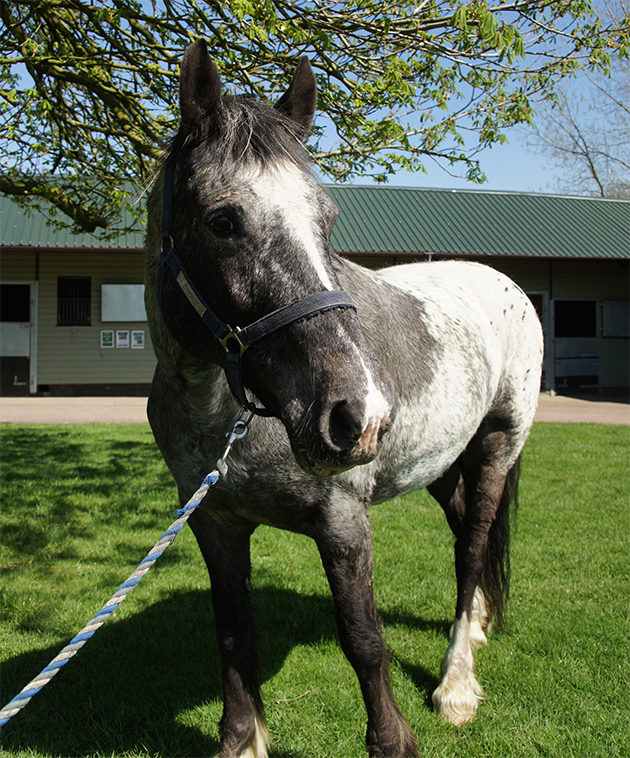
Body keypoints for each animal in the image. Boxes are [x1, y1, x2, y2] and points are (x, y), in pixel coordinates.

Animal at [144, 39, 543, 758]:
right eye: (222, 220)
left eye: (327, 222)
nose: (356, 416)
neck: (228, 420)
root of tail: (503, 284)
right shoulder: (215, 523)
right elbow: (233, 634)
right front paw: (242, 739)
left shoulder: (342, 523)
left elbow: (364, 640)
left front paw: (393, 740)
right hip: (441, 462)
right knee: (462, 534)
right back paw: (473, 627)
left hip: (497, 445)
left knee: (472, 549)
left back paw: (456, 683)